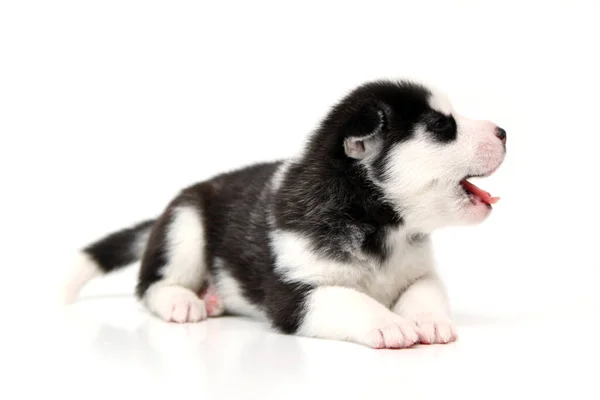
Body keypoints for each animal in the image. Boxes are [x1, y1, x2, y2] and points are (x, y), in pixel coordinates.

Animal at [64, 78, 506, 346]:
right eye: (441, 126)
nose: (503, 131)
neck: (382, 227)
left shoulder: (420, 271)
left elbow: (424, 292)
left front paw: (425, 319)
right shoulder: (295, 294)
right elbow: (348, 299)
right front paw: (388, 322)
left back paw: (212, 298)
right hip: (185, 224)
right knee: (150, 285)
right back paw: (182, 301)